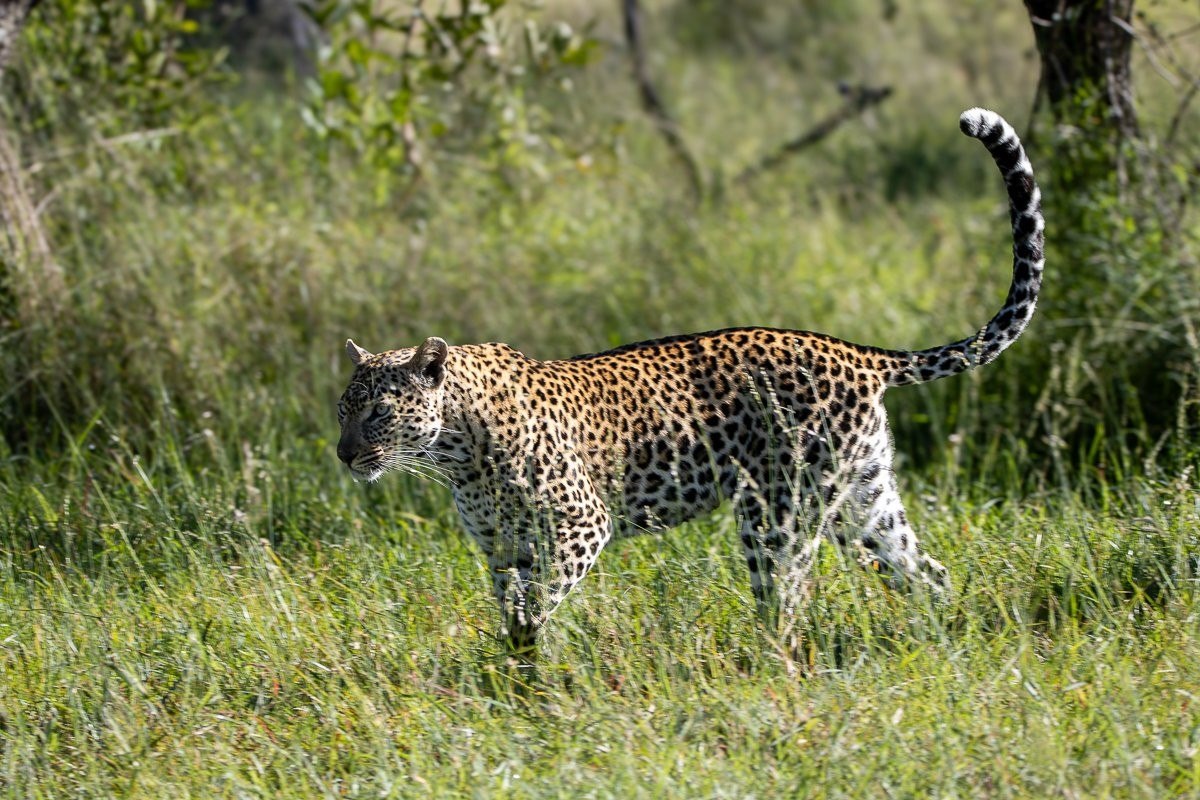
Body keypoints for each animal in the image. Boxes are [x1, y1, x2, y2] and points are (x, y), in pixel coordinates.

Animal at [336, 108, 1044, 659]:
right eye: (341, 411)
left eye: (377, 413)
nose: (343, 455)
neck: (455, 451)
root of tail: (854, 351)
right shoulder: (501, 550)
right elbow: (512, 610)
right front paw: (513, 669)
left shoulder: (578, 526)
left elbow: (538, 604)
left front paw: (531, 659)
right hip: (864, 499)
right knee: (928, 572)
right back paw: (939, 646)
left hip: (778, 512)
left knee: (787, 599)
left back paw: (770, 669)